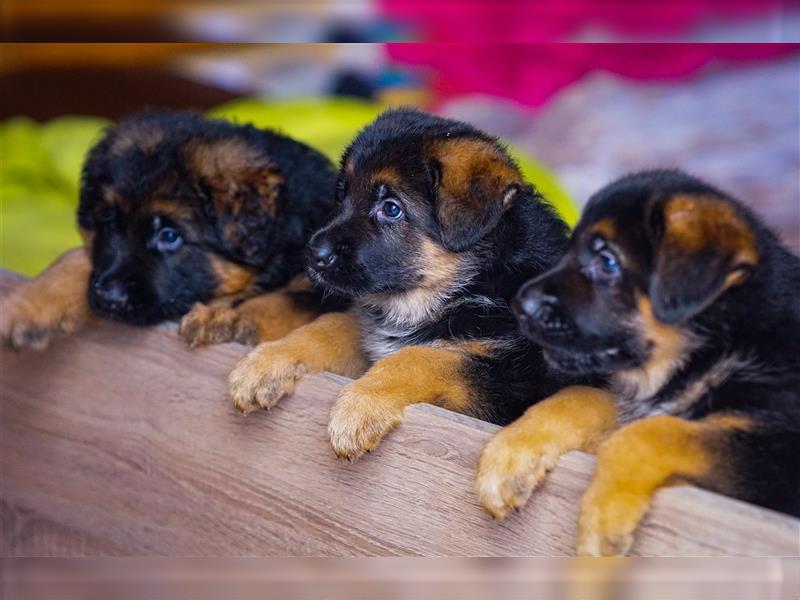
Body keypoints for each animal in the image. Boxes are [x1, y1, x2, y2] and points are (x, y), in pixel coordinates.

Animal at [0, 110, 340, 350]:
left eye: (169, 236)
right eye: (108, 222)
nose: (108, 298)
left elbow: (284, 300)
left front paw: (229, 317)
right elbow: (75, 258)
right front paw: (29, 305)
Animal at [228, 109, 584, 460]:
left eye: (391, 209)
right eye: (342, 194)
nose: (312, 254)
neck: (471, 284)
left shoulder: (507, 383)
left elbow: (421, 358)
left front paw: (359, 405)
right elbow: (329, 326)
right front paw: (266, 361)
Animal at [476, 168, 800, 552]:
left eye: (607, 262)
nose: (518, 305)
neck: (721, 342)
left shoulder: (773, 456)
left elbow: (651, 432)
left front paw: (603, 518)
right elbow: (578, 397)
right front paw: (511, 453)